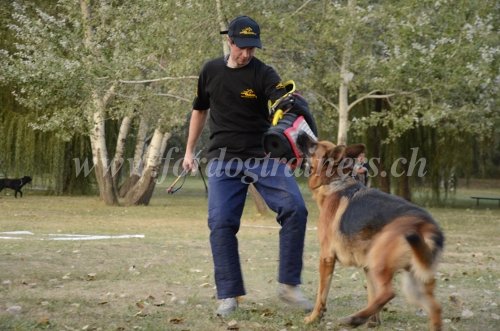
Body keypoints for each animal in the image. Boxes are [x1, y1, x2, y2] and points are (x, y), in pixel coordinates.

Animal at [296, 135, 446, 331]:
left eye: (313, 145)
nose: (300, 134)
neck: (336, 182)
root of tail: (426, 224)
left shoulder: (326, 257)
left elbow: (321, 293)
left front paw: (314, 318)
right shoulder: (367, 267)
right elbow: (372, 294)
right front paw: (374, 321)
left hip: (380, 260)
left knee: (389, 292)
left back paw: (354, 318)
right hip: (412, 280)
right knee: (434, 307)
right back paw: (360, 318)